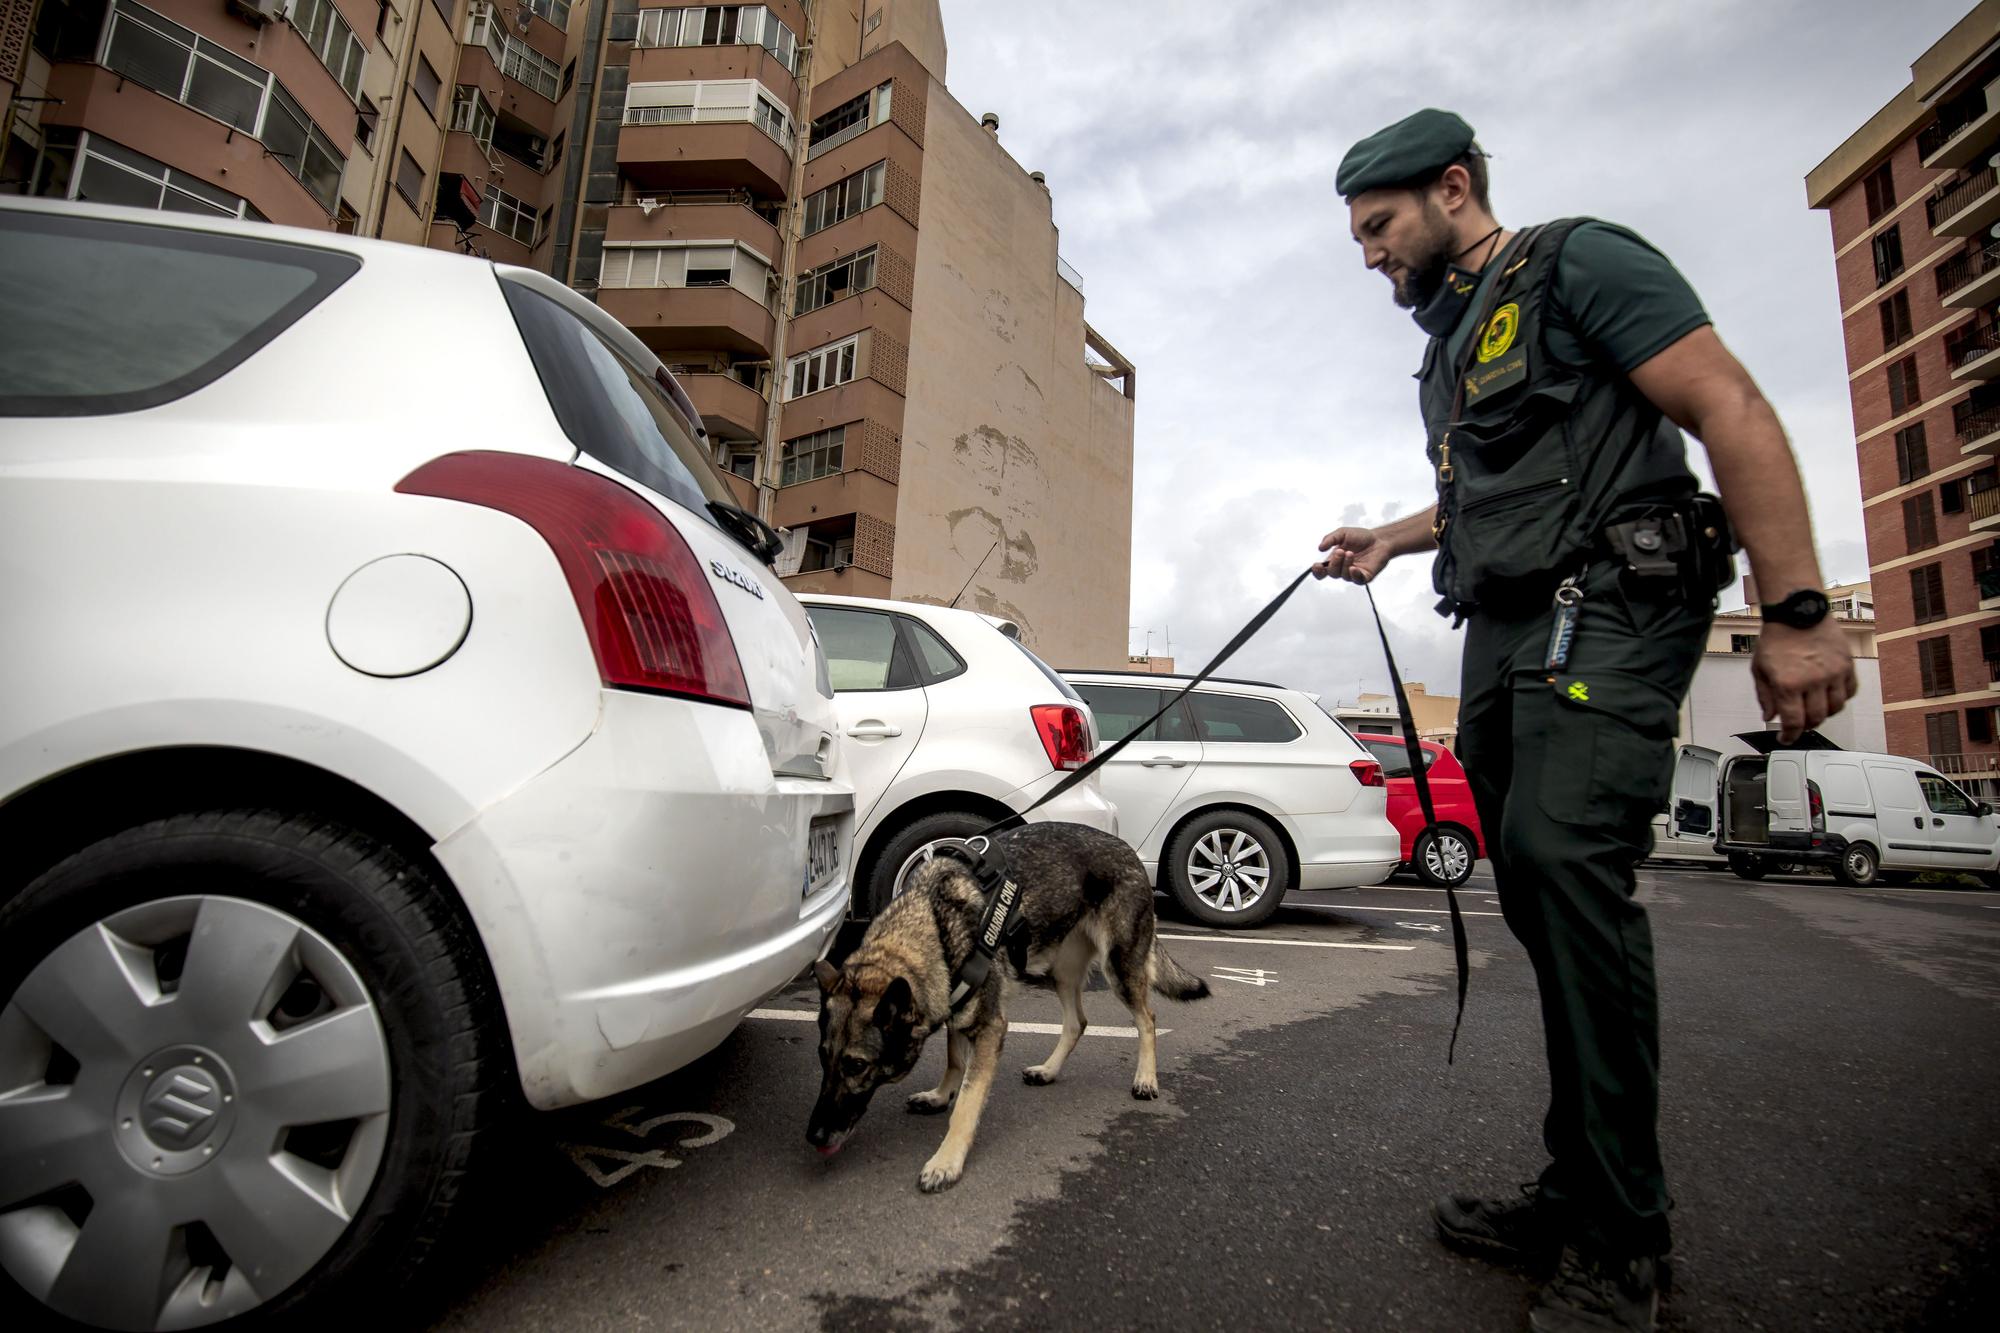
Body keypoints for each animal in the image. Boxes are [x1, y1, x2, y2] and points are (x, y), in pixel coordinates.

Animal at [804, 824, 1208, 1184]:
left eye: (858, 1065)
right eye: (823, 1056)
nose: (814, 1137)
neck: (934, 925)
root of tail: (1129, 851)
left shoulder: (990, 1029)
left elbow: (967, 1103)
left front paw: (947, 1160)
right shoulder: (957, 1010)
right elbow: (954, 1061)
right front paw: (940, 1095)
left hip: (1119, 968)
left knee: (1148, 1018)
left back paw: (1146, 1078)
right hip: (1062, 972)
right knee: (1077, 1022)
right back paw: (1049, 1071)